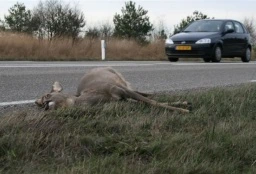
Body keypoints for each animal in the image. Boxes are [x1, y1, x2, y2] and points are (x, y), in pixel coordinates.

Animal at [35, 66, 190, 113]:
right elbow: (146, 103)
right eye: (41, 105)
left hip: (121, 79)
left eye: (47, 95)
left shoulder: (118, 89)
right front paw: (184, 104)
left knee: (141, 92)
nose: (44, 106)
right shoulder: (123, 100)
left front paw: (184, 109)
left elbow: (153, 102)